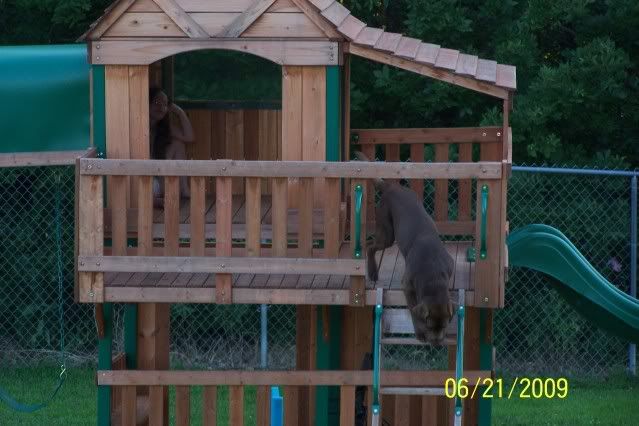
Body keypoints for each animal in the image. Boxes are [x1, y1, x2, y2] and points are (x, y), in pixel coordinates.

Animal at [360, 151, 456, 344]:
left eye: (444, 325)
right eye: (429, 325)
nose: (437, 344)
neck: (433, 276)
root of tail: (390, 187)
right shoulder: (408, 286)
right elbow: (412, 310)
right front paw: (419, 333)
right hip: (387, 233)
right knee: (370, 247)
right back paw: (372, 272)